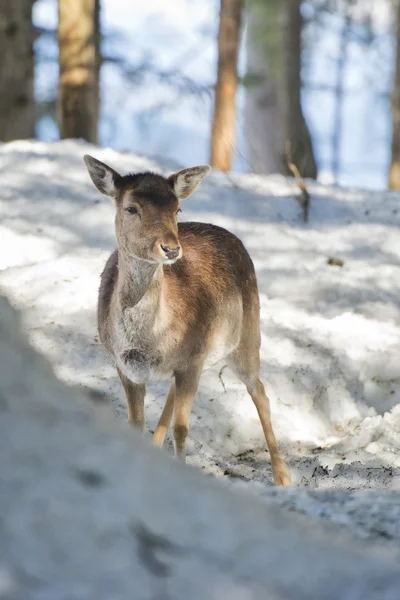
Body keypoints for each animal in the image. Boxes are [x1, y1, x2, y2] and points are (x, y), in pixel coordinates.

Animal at [83, 156, 290, 488]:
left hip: (246, 334)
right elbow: (135, 423)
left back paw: (283, 477)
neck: (148, 341)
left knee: (259, 391)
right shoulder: (124, 366)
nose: (170, 248)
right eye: (131, 208)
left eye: (177, 209)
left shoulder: (192, 357)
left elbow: (182, 429)